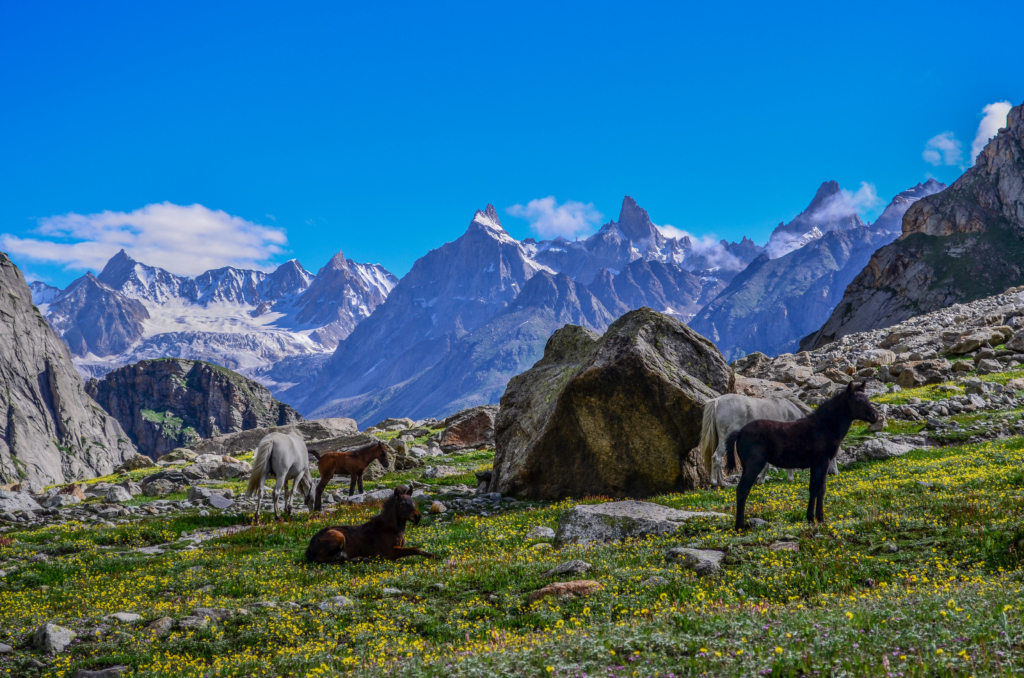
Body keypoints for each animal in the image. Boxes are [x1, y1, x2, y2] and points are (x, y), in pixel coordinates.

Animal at [299, 485, 436, 565]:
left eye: (413, 501)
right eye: (402, 504)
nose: (417, 516)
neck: (394, 529)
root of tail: (310, 545)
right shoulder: (390, 552)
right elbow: (415, 549)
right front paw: (432, 555)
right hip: (338, 537)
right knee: (319, 559)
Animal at [700, 393, 835, 489]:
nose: (833, 473)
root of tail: (717, 401)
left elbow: (767, 464)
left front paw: (761, 480)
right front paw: (790, 478)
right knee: (717, 458)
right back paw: (718, 483)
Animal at [720, 383, 880, 532]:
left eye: (867, 398)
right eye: (857, 401)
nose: (875, 416)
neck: (825, 427)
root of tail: (740, 432)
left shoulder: (814, 465)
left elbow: (812, 488)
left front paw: (810, 518)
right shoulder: (823, 462)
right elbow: (821, 488)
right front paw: (820, 518)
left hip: (746, 466)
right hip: (754, 465)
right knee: (742, 490)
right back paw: (740, 526)